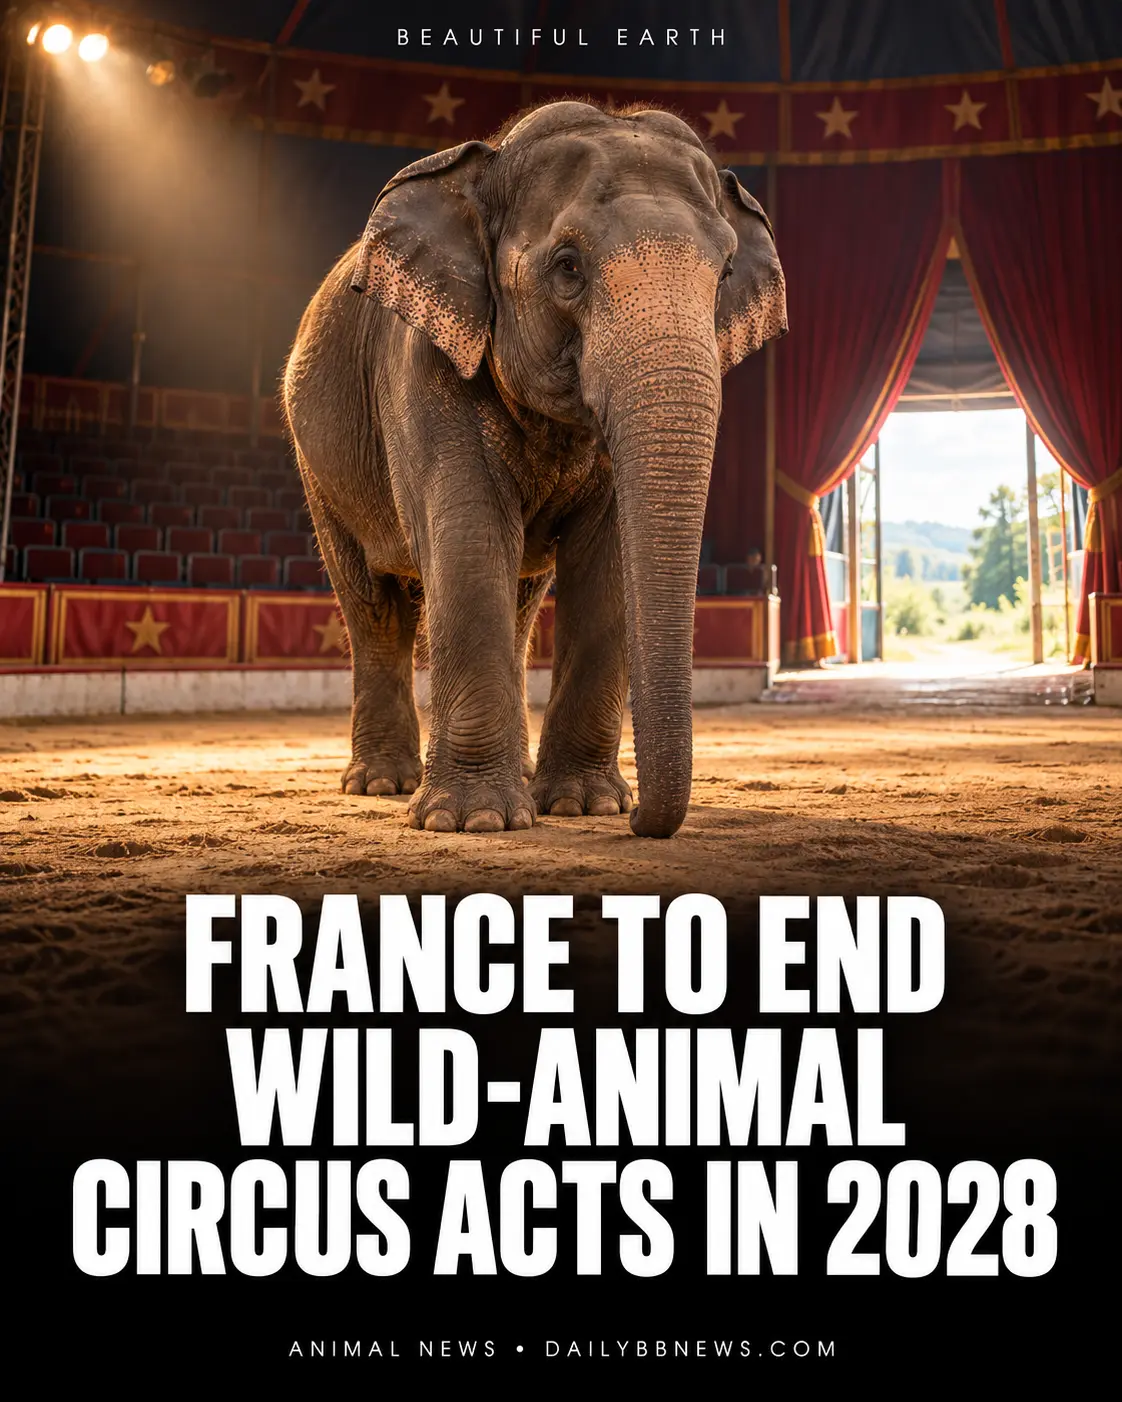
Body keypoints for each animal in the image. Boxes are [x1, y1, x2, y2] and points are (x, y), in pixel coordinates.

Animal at [282, 99, 786, 838]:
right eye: (568, 267)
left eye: (723, 274)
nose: (645, 823)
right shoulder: (422, 360)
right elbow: (468, 536)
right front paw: (472, 821)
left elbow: (606, 559)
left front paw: (586, 804)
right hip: (318, 466)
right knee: (373, 606)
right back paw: (381, 784)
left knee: (518, 605)